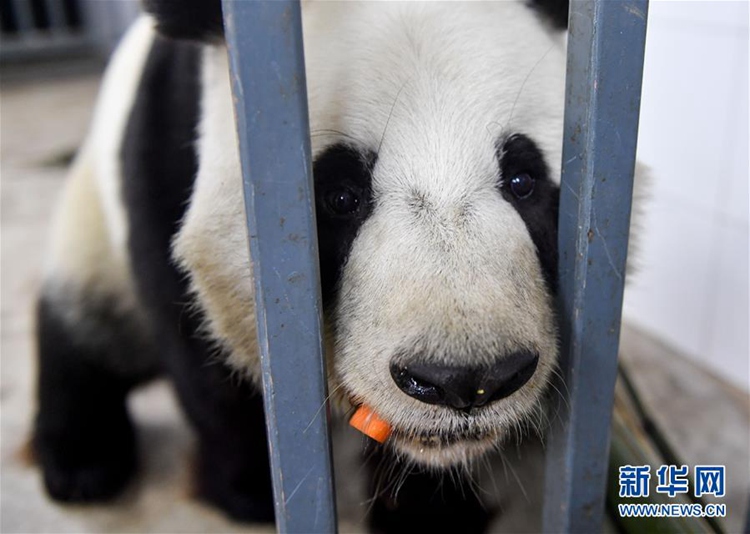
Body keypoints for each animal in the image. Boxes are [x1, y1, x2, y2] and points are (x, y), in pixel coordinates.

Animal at [32, 1, 592, 532]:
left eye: (522, 180)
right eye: (340, 196)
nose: (467, 380)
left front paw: (432, 511)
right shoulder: (168, 155)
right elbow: (199, 349)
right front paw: (251, 493)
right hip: (93, 220)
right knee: (88, 324)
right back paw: (81, 464)